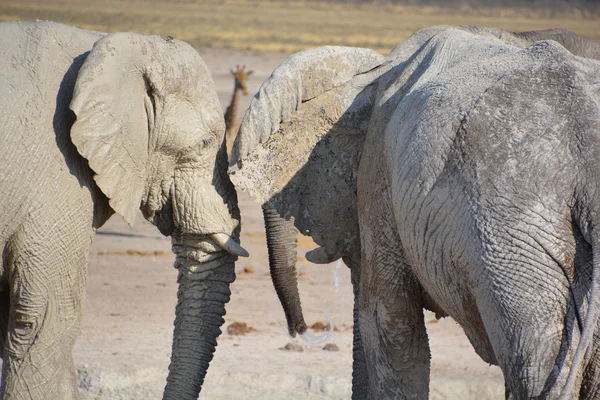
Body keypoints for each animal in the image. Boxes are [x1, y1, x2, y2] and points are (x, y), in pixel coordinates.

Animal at [227, 26, 600, 398]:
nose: (302, 329)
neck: (375, 73)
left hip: (508, 236)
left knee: (533, 360)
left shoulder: (378, 167)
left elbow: (389, 323)